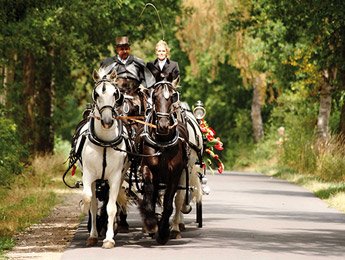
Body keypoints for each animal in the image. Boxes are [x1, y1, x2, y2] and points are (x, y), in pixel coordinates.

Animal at [76, 69, 128, 248]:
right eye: (96, 94)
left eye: (115, 94)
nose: (107, 121)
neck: (105, 141)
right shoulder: (88, 174)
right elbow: (88, 199)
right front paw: (85, 211)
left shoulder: (115, 177)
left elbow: (111, 207)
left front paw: (109, 238)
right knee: (92, 201)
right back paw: (93, 233)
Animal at [138, 80, 188, 245]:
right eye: (154, 97)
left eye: (173, 97)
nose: (163, 126)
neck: (162, 143)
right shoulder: (147, 168)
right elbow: (149, 195)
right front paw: (151, 223)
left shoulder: (175, 174)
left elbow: (168, 203)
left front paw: (164, 232)